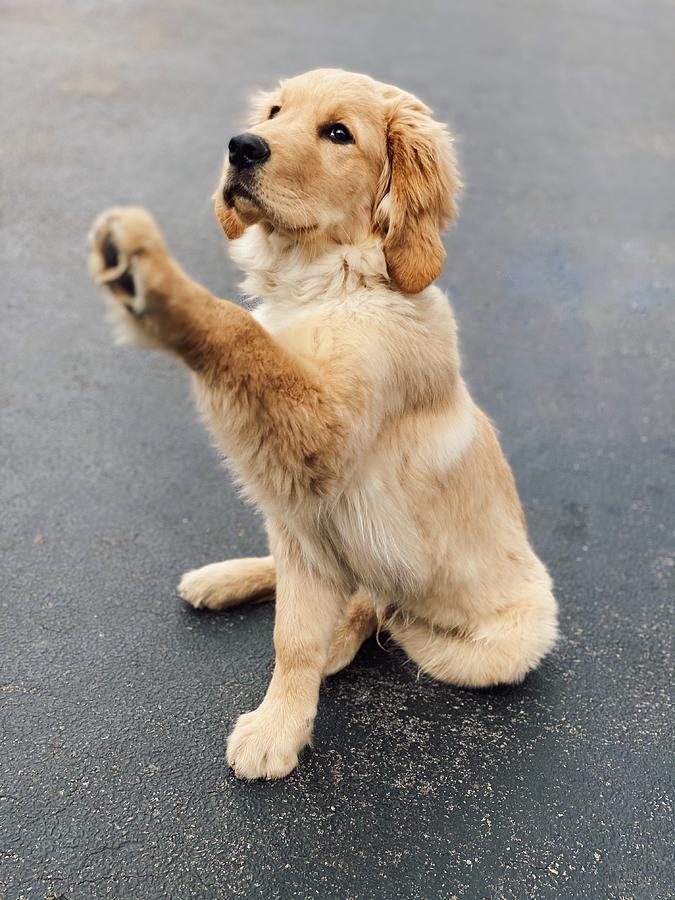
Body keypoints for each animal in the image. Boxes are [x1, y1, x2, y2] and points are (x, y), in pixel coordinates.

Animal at [87, 68, 556, 780]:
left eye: (338, 133)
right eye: (275, 112)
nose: (240, 147)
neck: (333, 282)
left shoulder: (320, 437)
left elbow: (241, 334)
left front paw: (155, 282)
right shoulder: (295, 494)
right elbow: (292, 635)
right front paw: (282, 717)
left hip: (497, 640)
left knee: (376, 600)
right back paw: (226, 580)